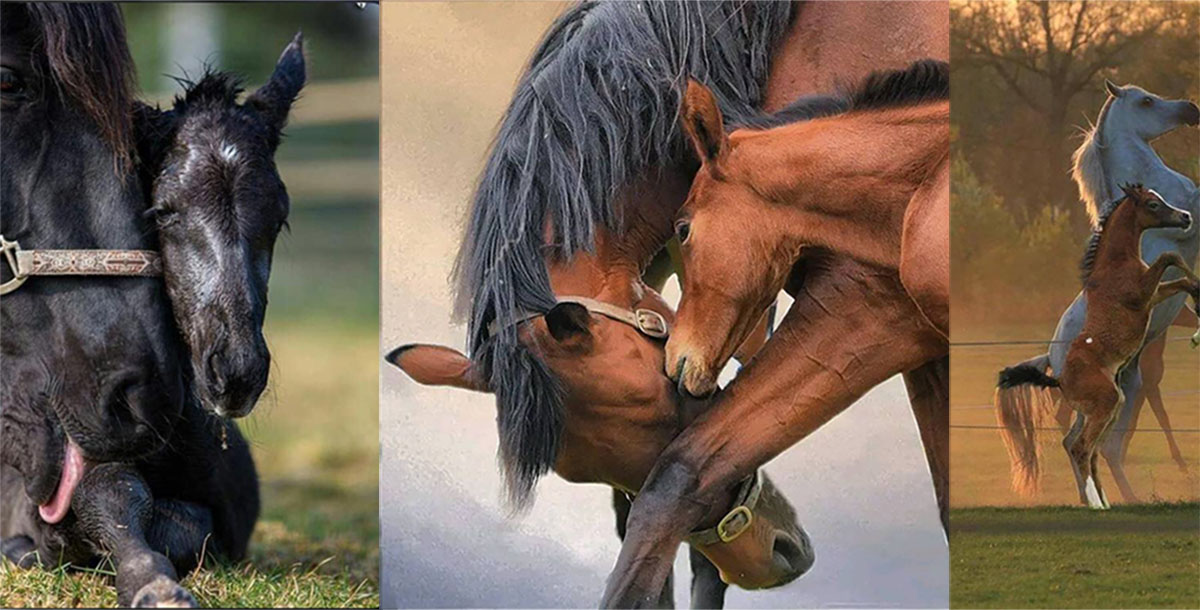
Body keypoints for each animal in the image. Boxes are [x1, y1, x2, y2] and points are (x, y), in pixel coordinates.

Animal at [993, 78, 1200, 501]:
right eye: (1146, 101)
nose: (1192, 109)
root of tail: (1052, 358)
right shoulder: (1188, 224)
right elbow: (1177, 250)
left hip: (1127, 385)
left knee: (1095, 444)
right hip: (1112, 396)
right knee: (1099, 445)